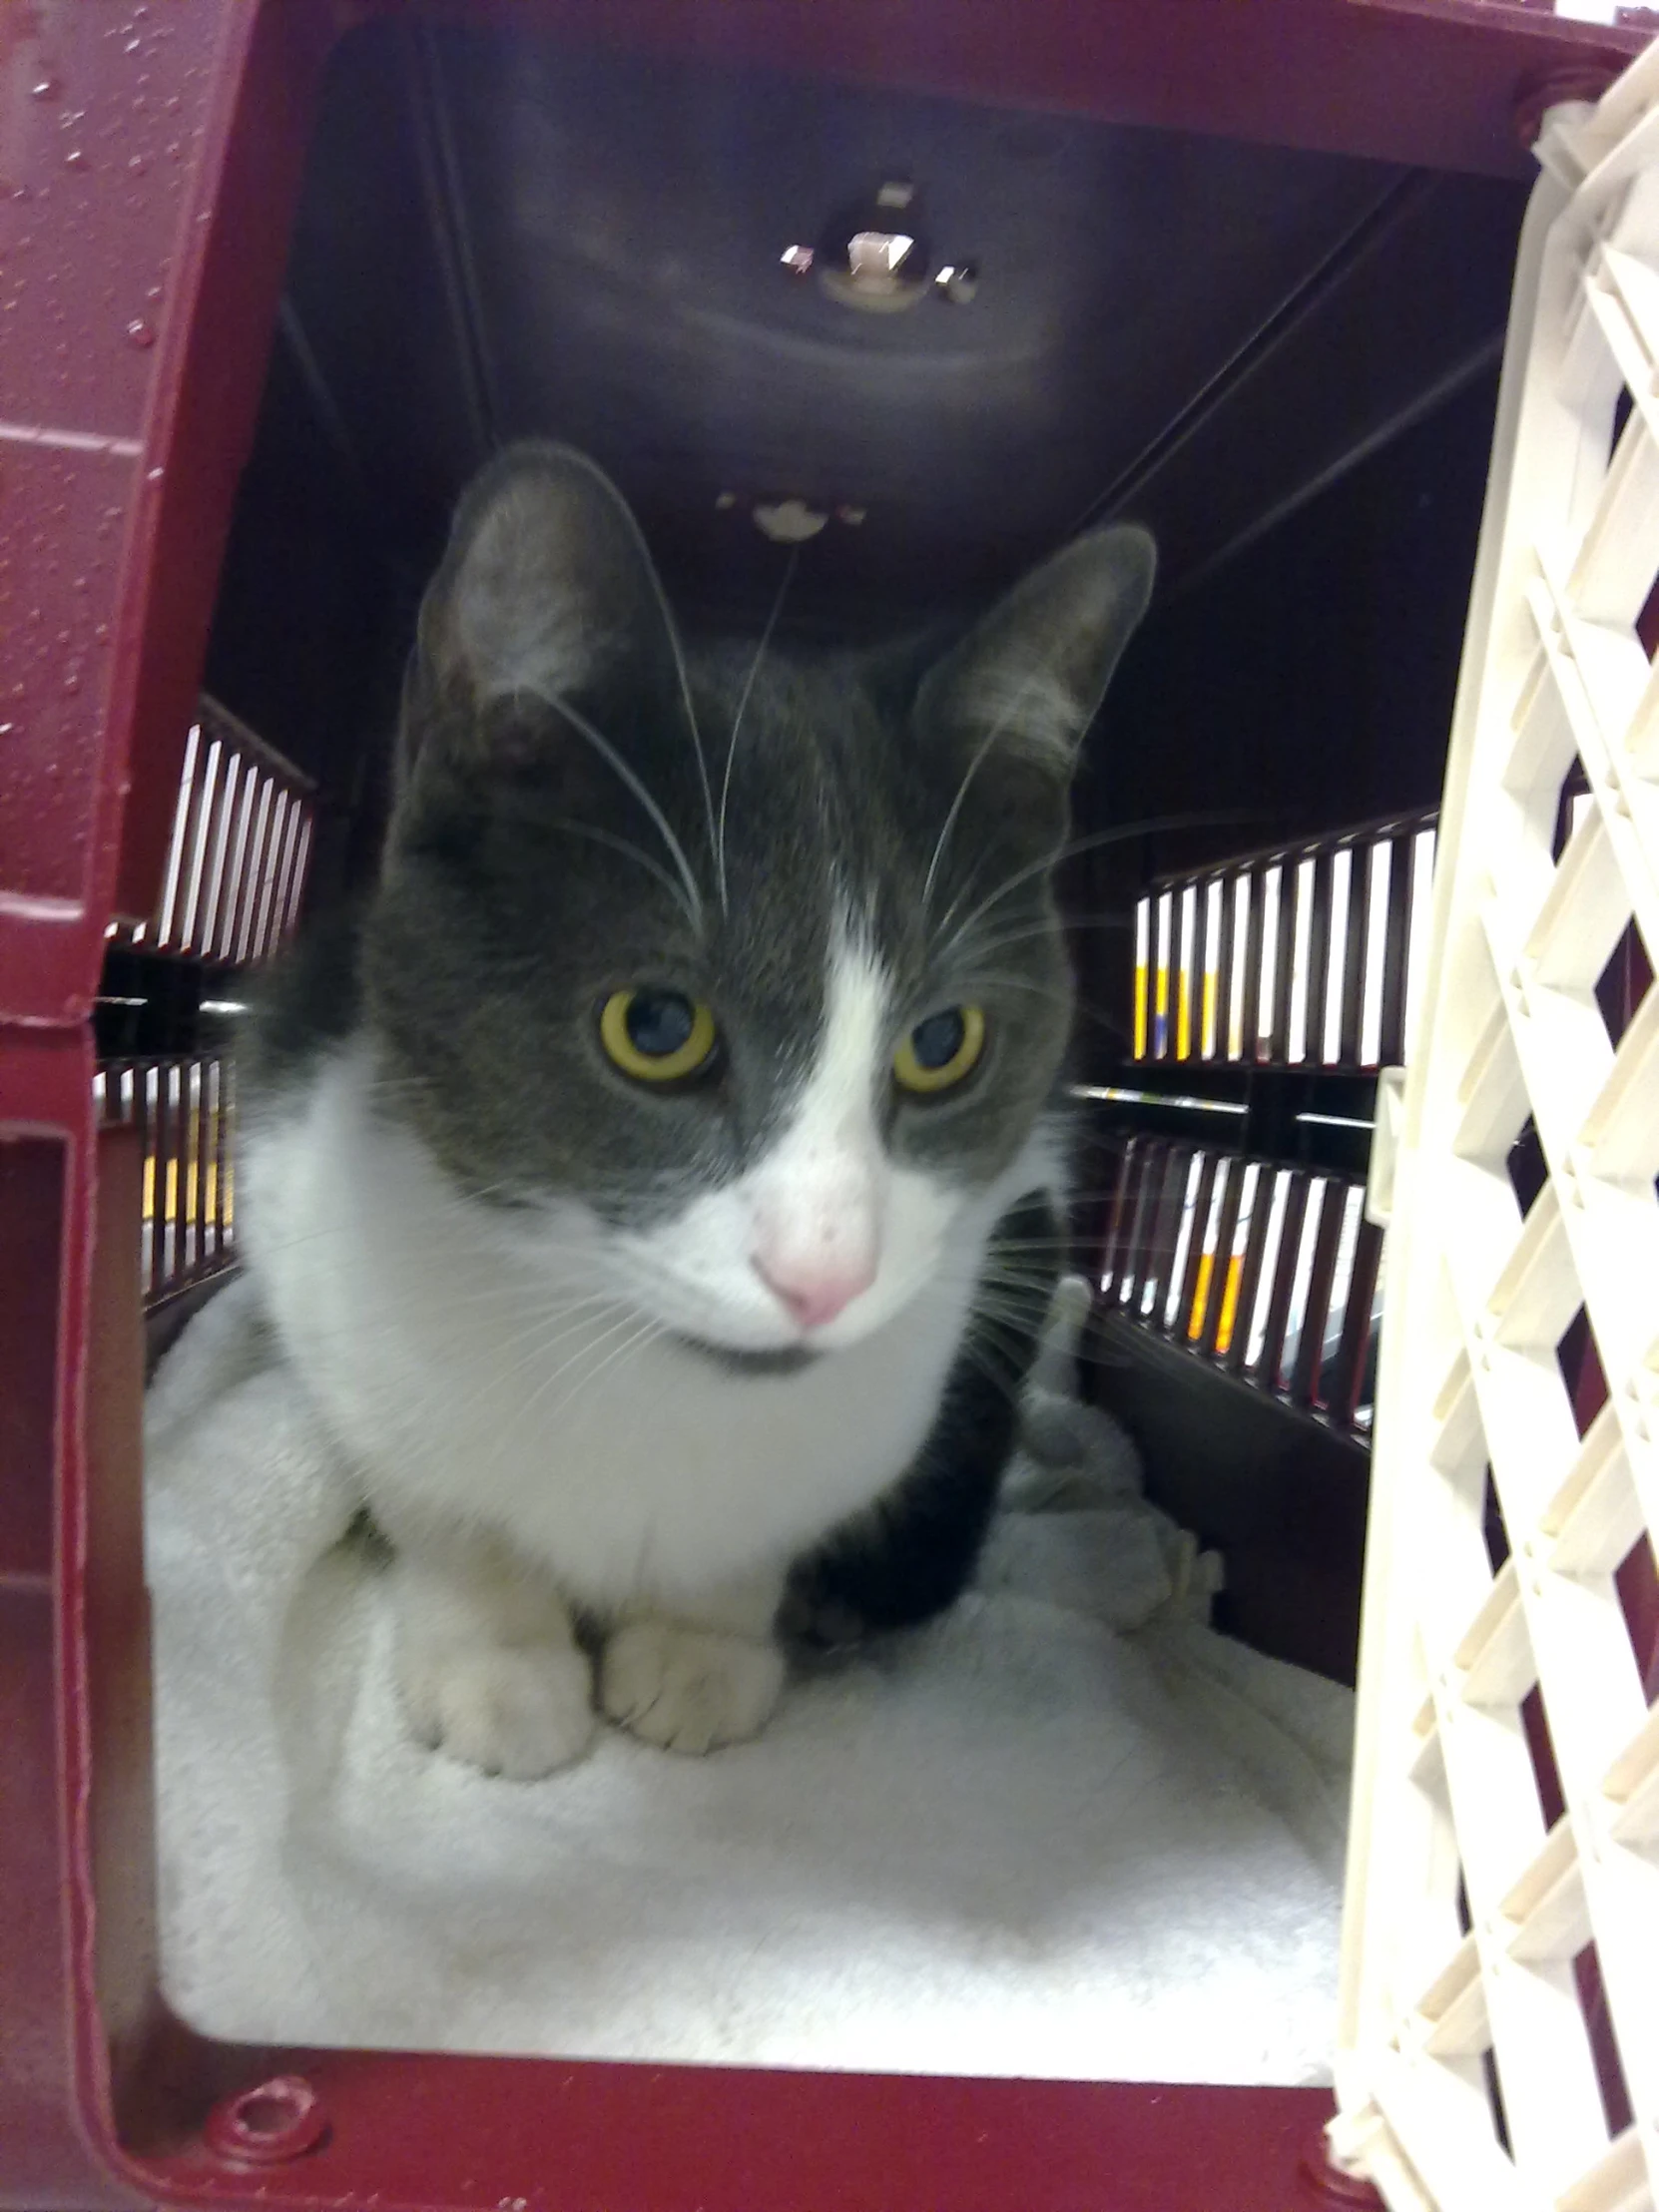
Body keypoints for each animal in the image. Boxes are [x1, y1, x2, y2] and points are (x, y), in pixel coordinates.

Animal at [240, 448, 1159, 1778]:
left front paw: (703, 1646)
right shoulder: (302, 1210)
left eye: (943, 1044)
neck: (652, 1379)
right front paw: (498, 1665)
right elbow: (441, 1507)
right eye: (658, 1026)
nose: (826, 1274)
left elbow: (751, 1547)